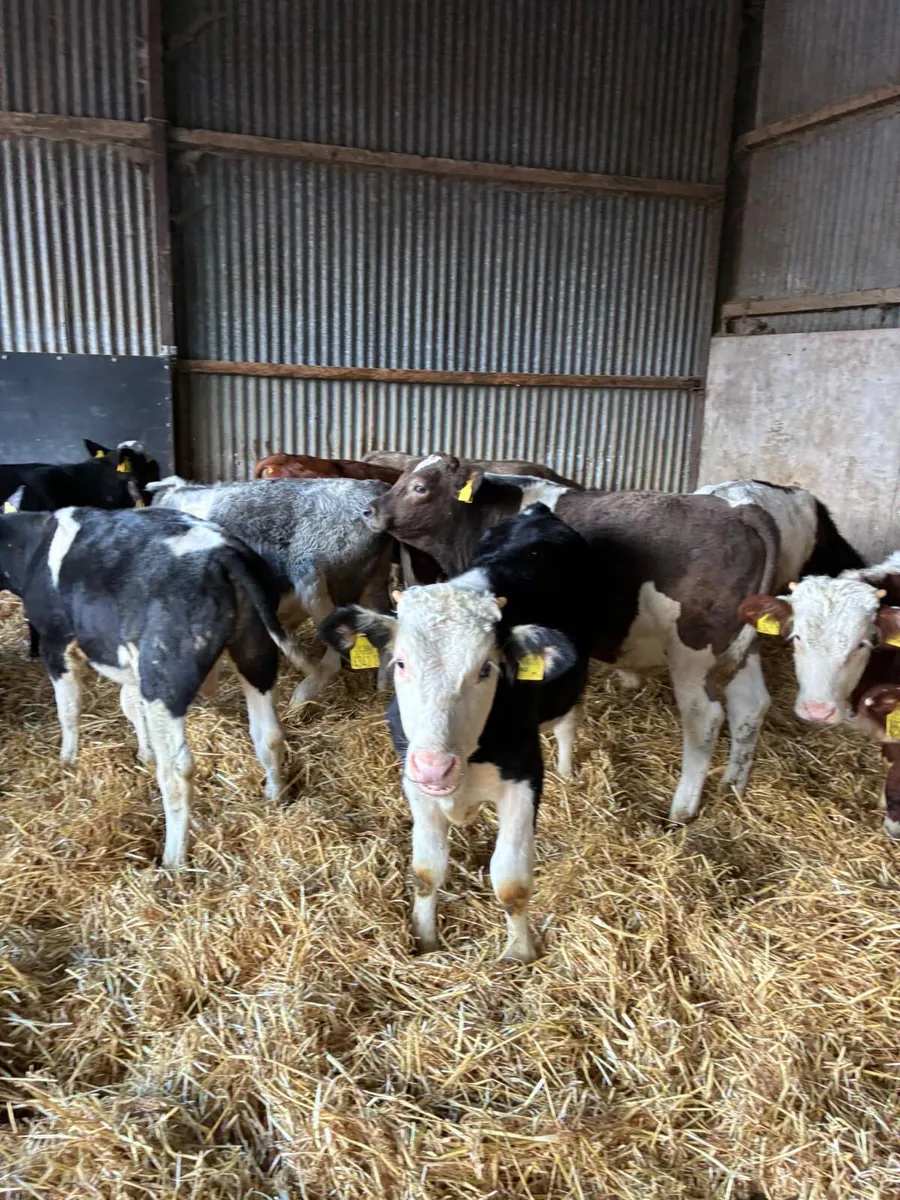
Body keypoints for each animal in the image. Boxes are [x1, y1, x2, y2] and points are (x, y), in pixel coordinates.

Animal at [0, 505, 306, 867]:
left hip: (165, 675)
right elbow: (130, 705)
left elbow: (69, 709)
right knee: (268, 734)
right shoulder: (132, 661)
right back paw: (275, 797)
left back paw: (173, 861)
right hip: (254, 652)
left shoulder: (55, 639)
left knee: (176, 770)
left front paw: (67, 760)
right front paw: (144, 752)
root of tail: (223, 552)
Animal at [150, 476, 394, 704]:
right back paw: (382, 690)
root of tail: (375, 488)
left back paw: (300, 696)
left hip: (313, 579)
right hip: (373, 584)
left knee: (334, 654)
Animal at [320, 504, 599, 961]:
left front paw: (519, 955)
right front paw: (425, 940)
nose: (436, 768)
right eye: (400, 662)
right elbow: (426, 870)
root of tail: (537, 510)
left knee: (568, 721)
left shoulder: (524, 780)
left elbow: (511, 881)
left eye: (486, 668)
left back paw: (568, 770)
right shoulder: (413, 779)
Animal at [362, 453, 780, 825]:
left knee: (704, 720)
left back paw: (682, 809)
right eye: (400, 478)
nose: (369, 510)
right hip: (743, 646)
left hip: (693, 650)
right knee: (750, 705)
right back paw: (733, 786)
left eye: (419, 487)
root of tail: (736, 510)